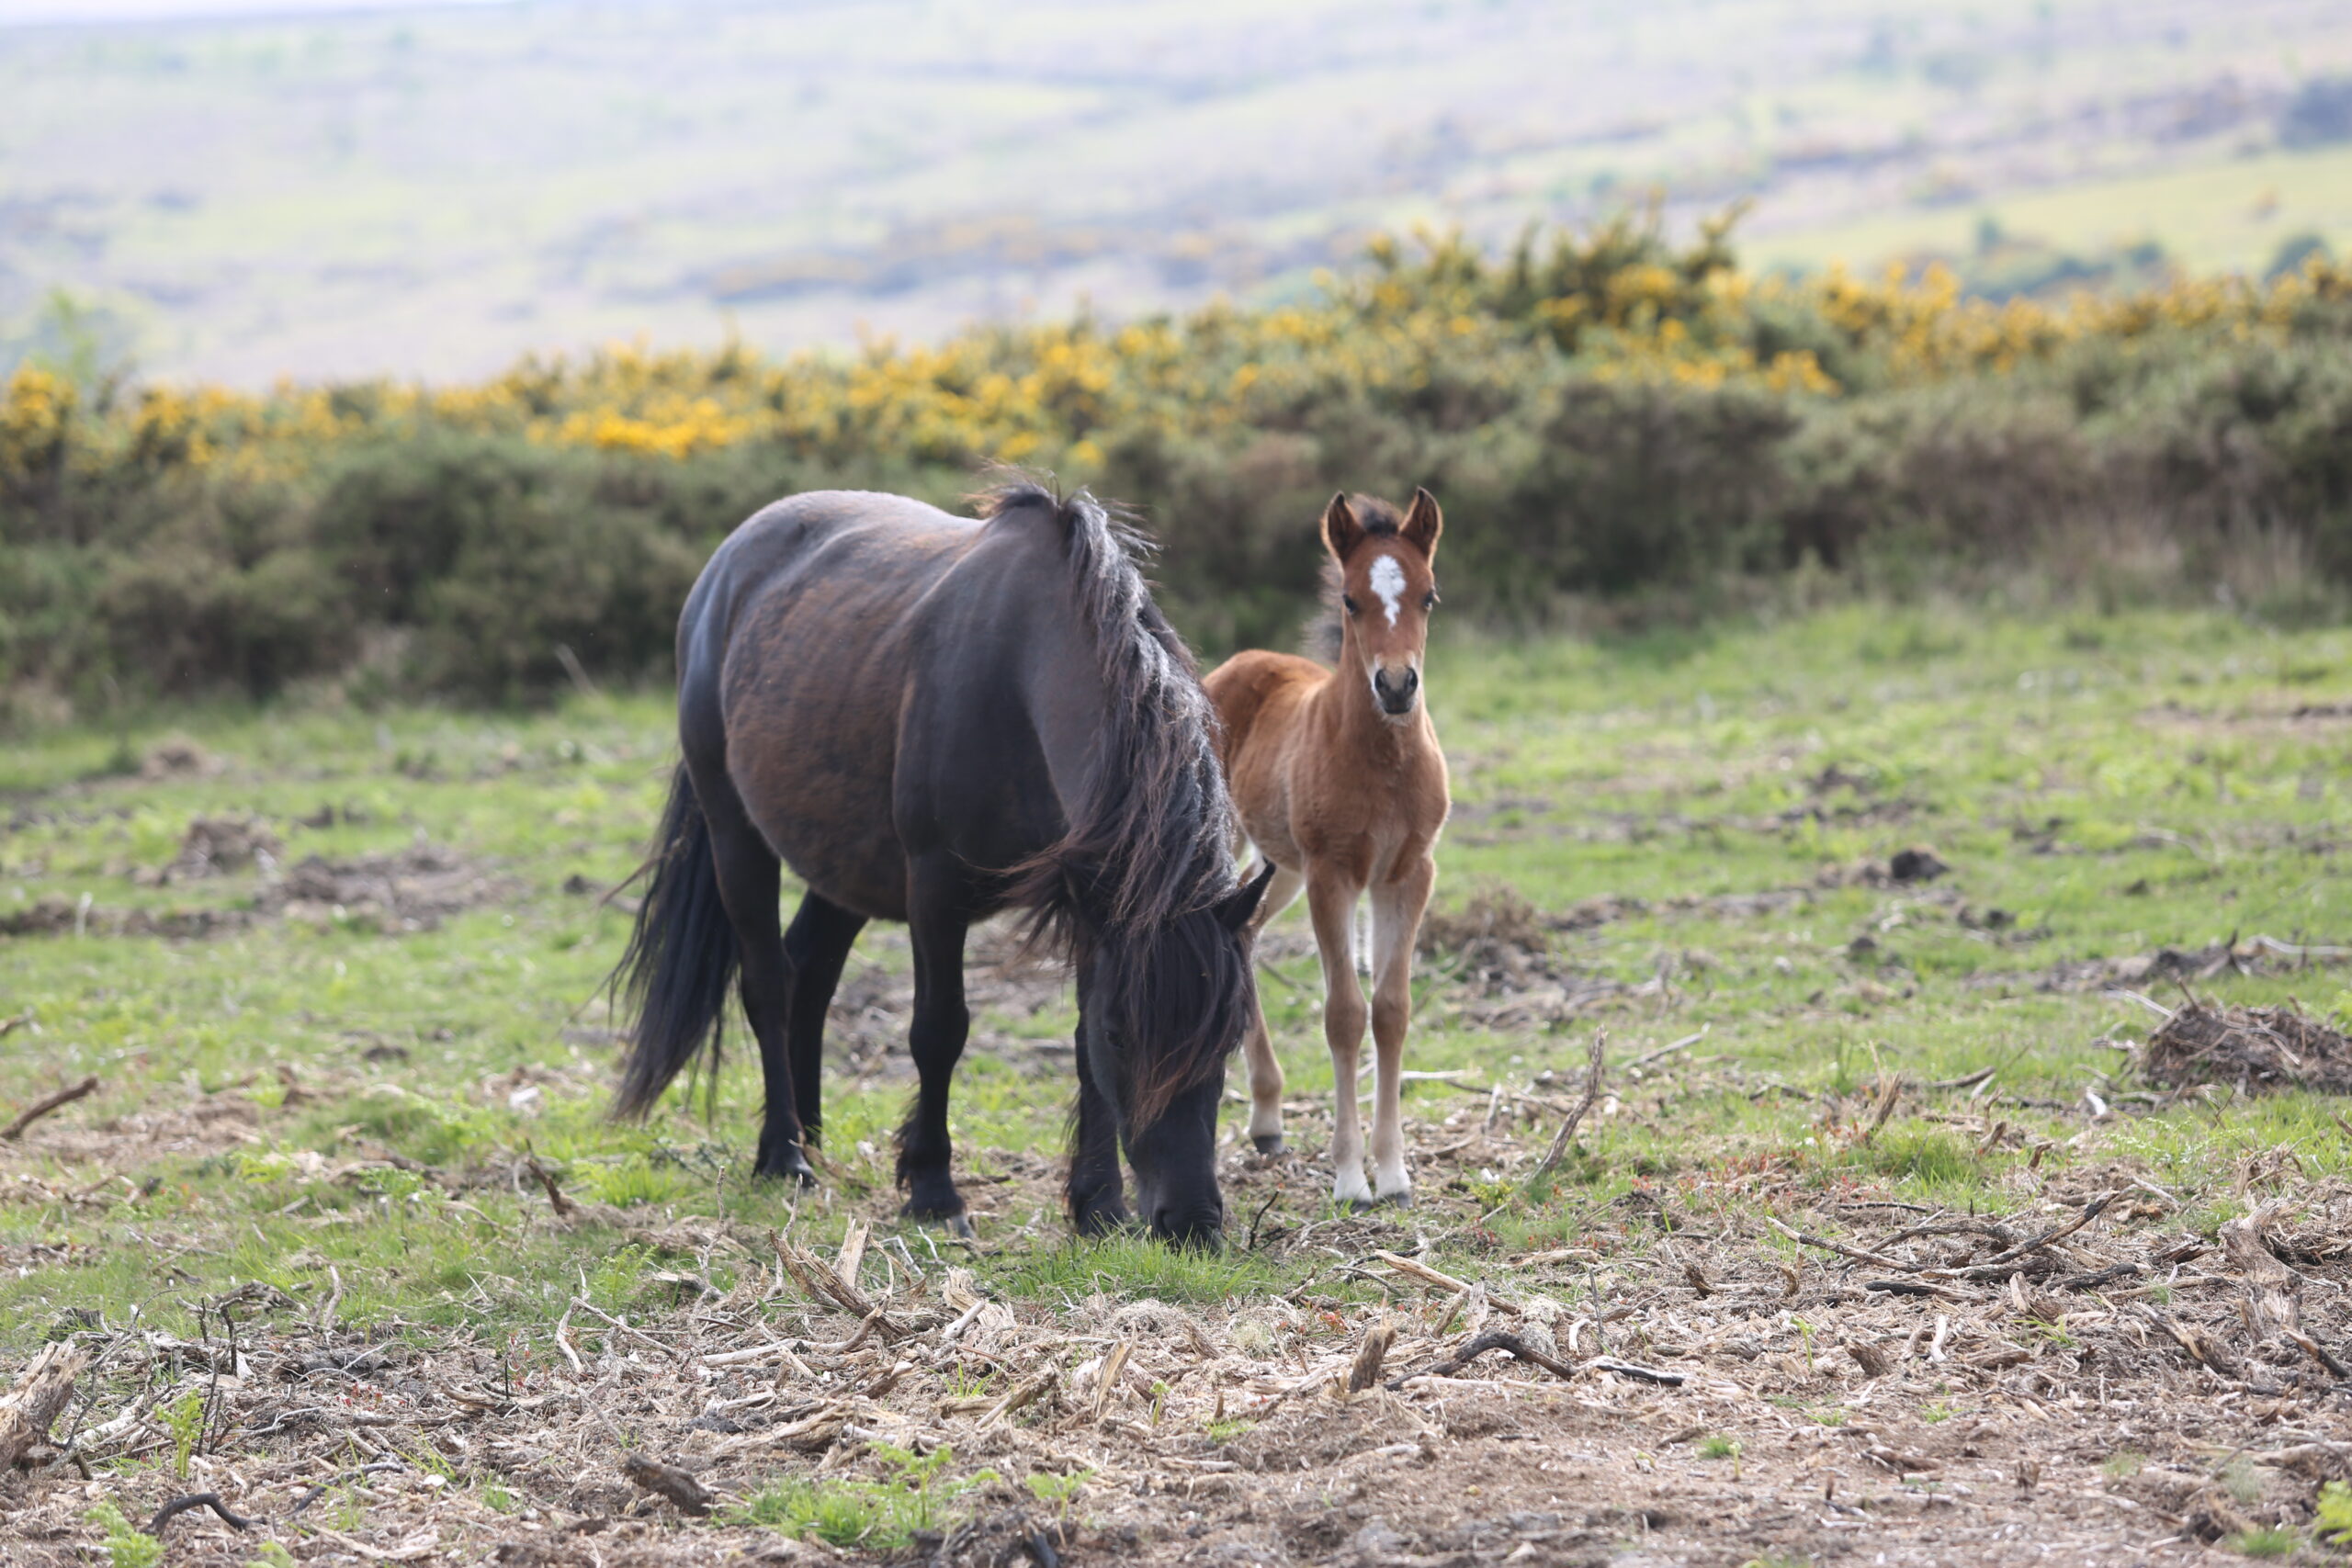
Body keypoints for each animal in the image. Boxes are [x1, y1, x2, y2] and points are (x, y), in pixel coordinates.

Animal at [606, 482, 1275, 1244]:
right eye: (1124, 1033)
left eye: (1229, 1035)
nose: (1192, 1219)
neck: (1023, 676)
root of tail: (726, 564)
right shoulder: (936, 890)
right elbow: (939, 1030)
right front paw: (932, 1187)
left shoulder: (1093, 904)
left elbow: (1078, 1051)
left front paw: (1097, 1203)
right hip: (736, 834)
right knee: (769, 983)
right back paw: (784, 1153)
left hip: (846, 862)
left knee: (810, 972)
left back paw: (812, 1133)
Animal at [1202, 489, 1450, 1208]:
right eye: (1350, 599)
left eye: (1429, 595)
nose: (1396, 685)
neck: (1384, 763)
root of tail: (1237, 663)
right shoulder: (1332, 873)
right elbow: (1343, 1013)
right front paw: (1348, 1177)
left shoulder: (1407, 873)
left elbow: (1391, 1010)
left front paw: (1393, 1173)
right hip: (1241, 843)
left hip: (1279, 865)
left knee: (1245, 925)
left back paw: (1267, 1118)